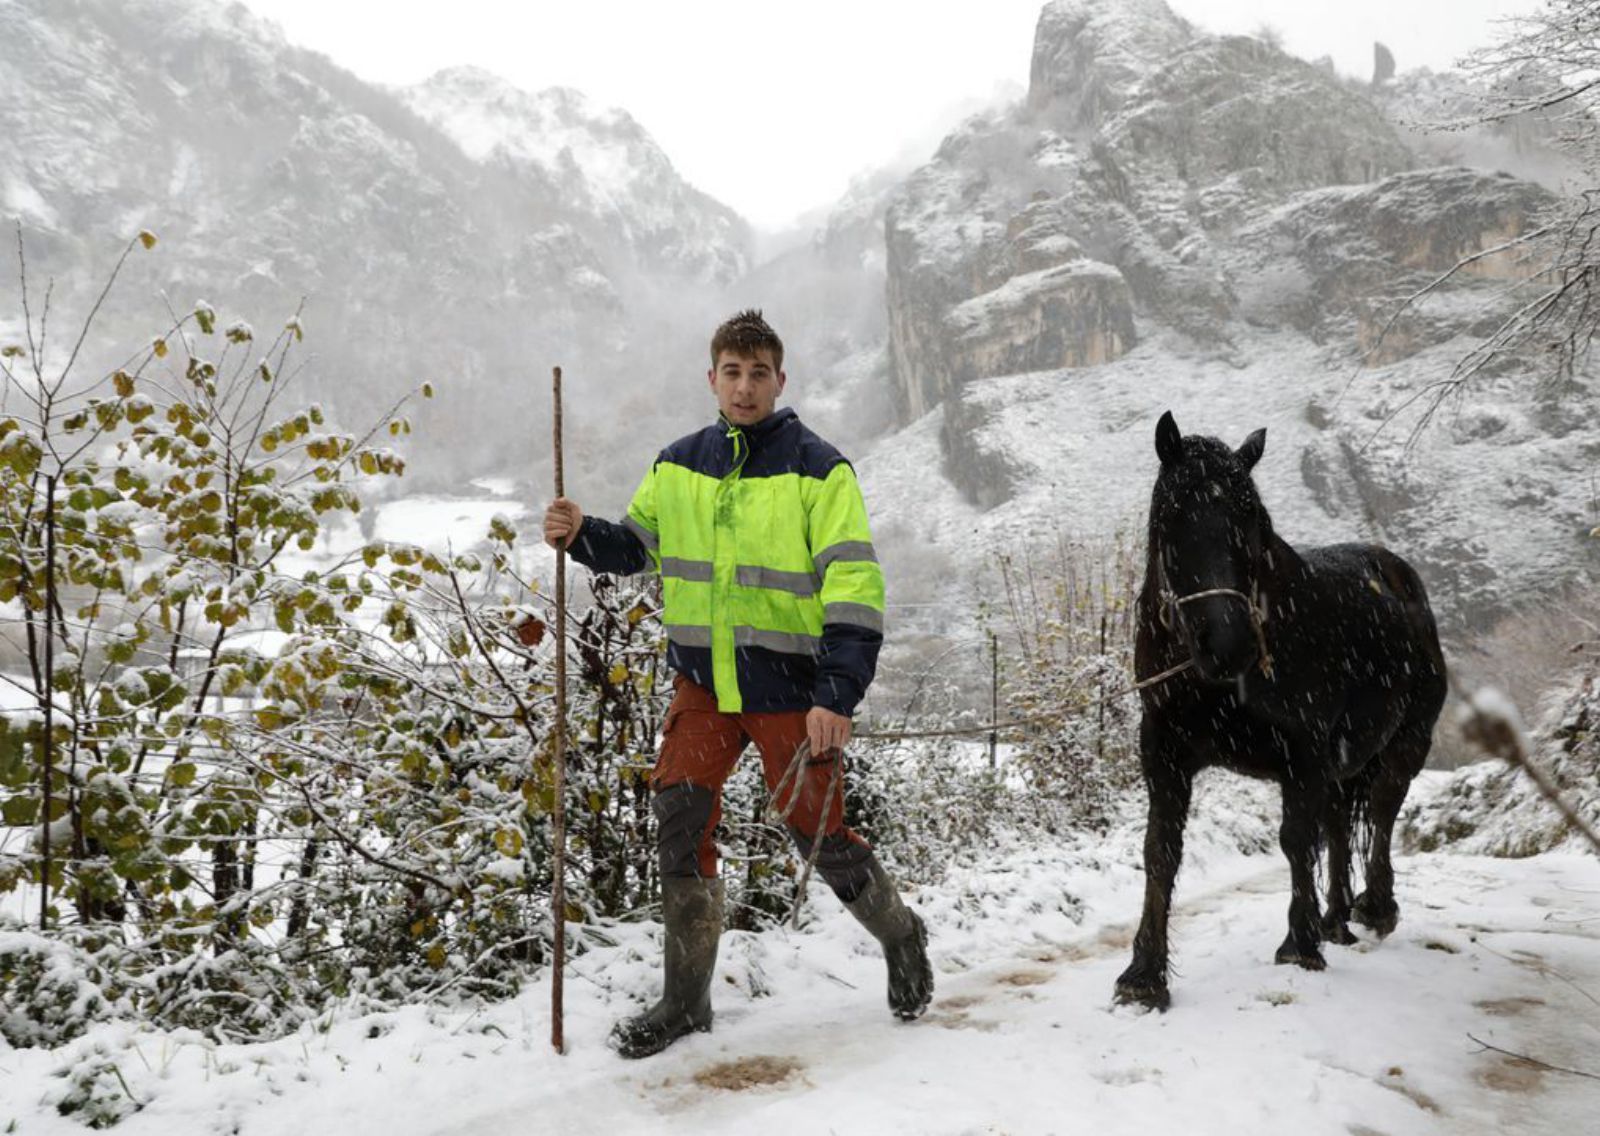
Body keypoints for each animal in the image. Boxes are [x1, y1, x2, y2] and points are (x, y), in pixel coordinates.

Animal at [1113, 412, 1452, 1011]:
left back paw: (1374, 908)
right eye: (1172, 518)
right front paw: (1145, 973)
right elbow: (1161, 851)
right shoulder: (1164, 752)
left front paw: (1299, 944)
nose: (1229, 644)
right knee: (1339, 822)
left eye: (1250, 518)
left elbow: (1296, 841)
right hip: (1342, 761)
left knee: (1382, 810)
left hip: (1407, 742)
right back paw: (1336, 919)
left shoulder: (1303, 753)